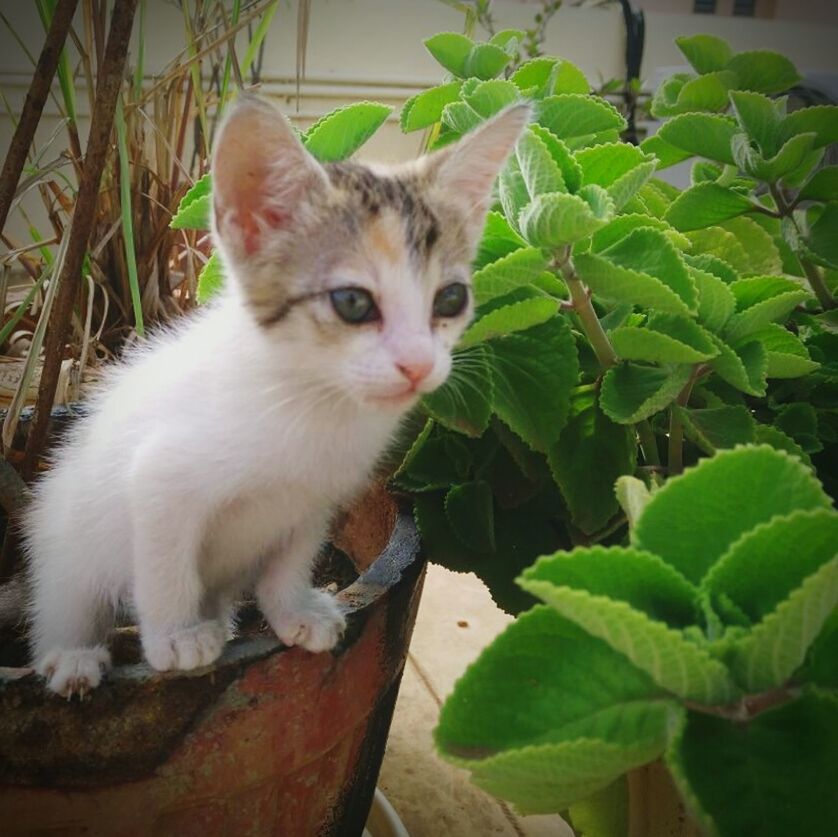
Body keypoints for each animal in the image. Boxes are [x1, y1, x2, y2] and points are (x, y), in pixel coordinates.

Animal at [23, 94, 532, 696]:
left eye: (451, 298)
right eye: (353, 303)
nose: (419, 364)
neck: (314, 401)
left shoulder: (316, 496)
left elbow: (292, 557)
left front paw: (292, 611)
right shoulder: (159, 479)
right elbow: (166, 562)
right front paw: (176, 634)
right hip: (69, 537)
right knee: (67, 600)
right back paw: (73, 654)